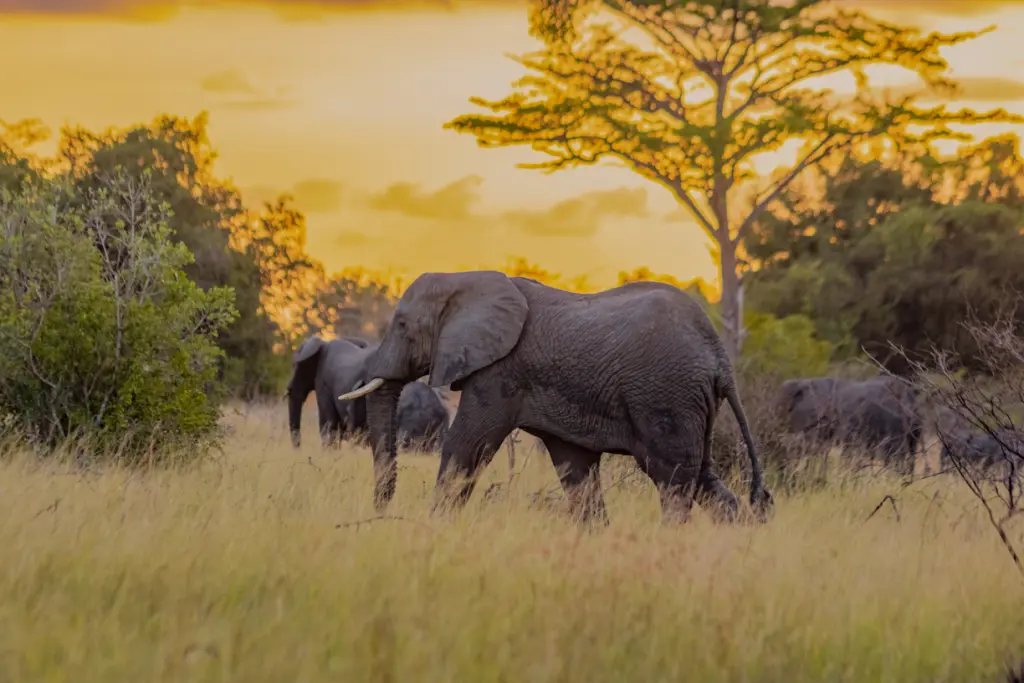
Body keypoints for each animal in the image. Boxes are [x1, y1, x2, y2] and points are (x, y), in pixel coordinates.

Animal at [336, 270, 773, 525]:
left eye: (402, 325)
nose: (382, 508)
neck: (464, 279)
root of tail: (719, 357)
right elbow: (574, 468)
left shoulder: (499, 372)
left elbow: (467, 445)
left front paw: (436, 528)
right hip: (688, 403)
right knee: (699, 476)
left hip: (666, 395)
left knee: (673, 480)